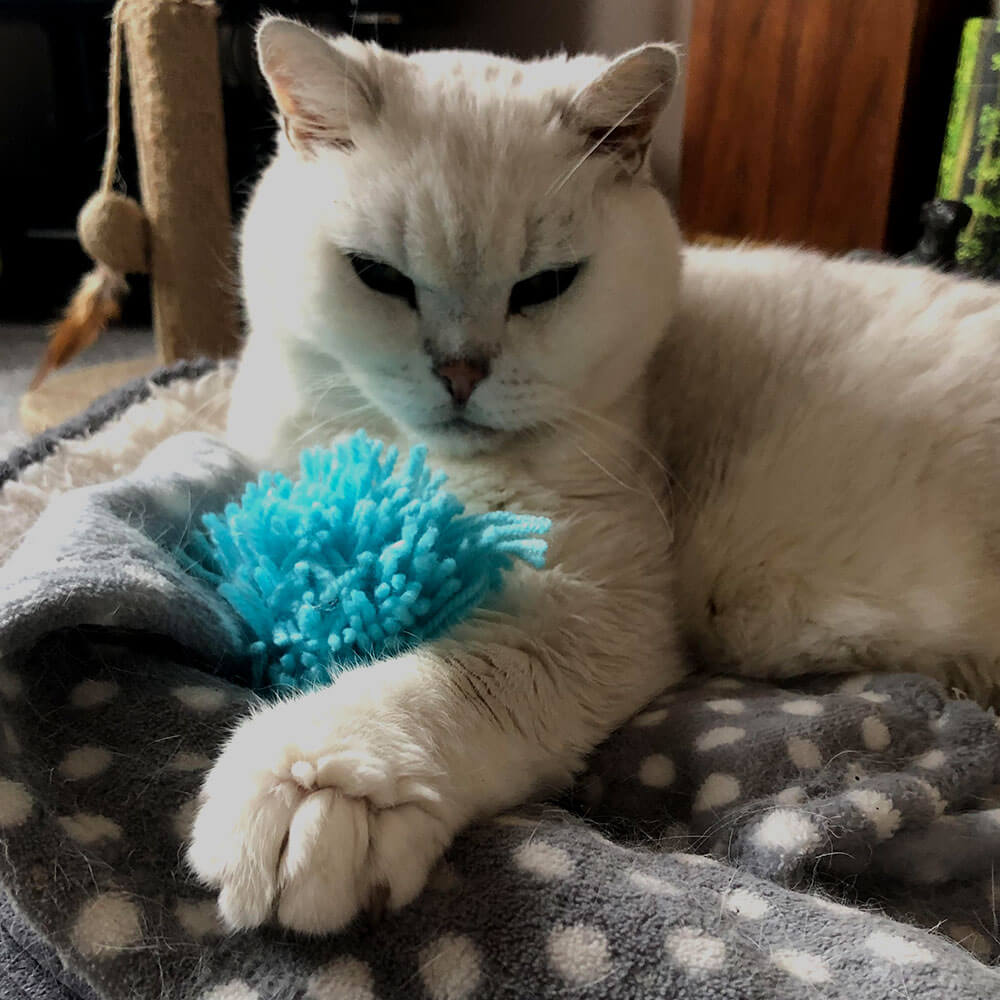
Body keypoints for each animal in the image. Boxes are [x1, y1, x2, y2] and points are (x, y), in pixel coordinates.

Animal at [188, 17, 1000, 936]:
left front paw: (314, 789)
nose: (461, 373)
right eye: (380, 277)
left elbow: (442, 680)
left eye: (544, 287)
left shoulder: (591, 606)